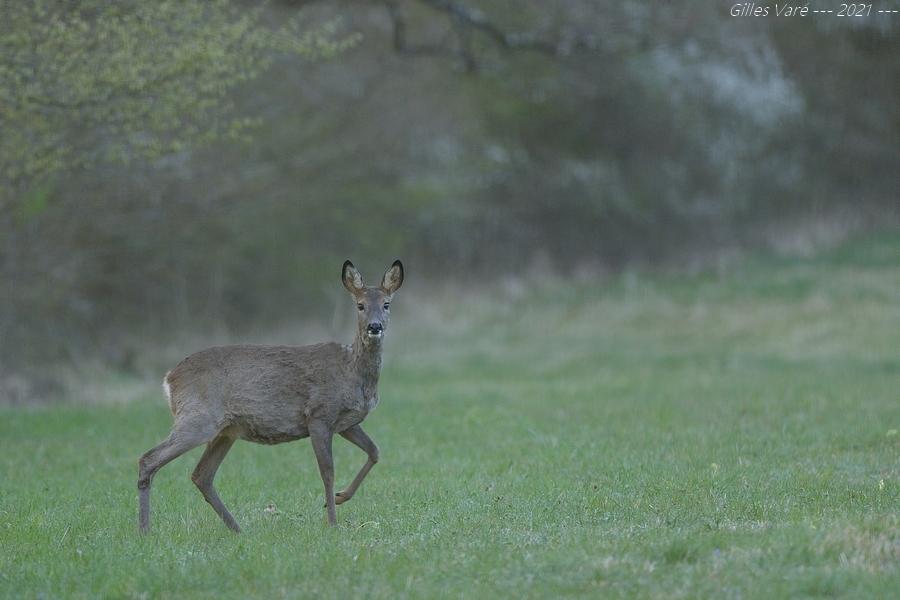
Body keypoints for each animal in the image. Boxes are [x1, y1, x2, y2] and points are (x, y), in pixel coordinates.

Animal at [137, 260, 404, 532]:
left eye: (386, 304)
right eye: (360, 305)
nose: (374, 327)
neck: (352, 371)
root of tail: (170, 378)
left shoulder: (345, 422)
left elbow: (374, 451)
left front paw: (340, 498)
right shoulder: (319, 414)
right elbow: (327, 472)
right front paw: (332, 521)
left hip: (226, 431)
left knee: (201, 474)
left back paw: (237, 529)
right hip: (198, 419)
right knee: (149, 459)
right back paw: (145, 530)